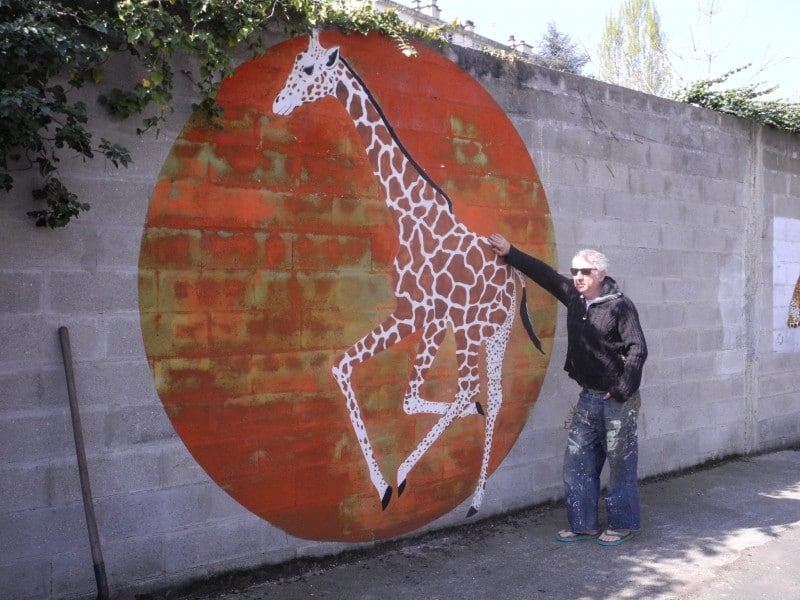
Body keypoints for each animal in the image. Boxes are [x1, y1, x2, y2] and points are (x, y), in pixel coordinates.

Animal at [274, 30, 544, 516]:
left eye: (307, 69)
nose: (278, 103)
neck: (406, 212)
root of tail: (514, 277)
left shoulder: (420, 313)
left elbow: (408, 395)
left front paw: (388, 481)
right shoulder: (421, 315)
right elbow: (359, 374)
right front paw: (383, 483)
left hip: (470, 328)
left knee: (467, 388)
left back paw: (412, 473)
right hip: (495, 333)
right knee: (493, 396)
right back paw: (476, 497)